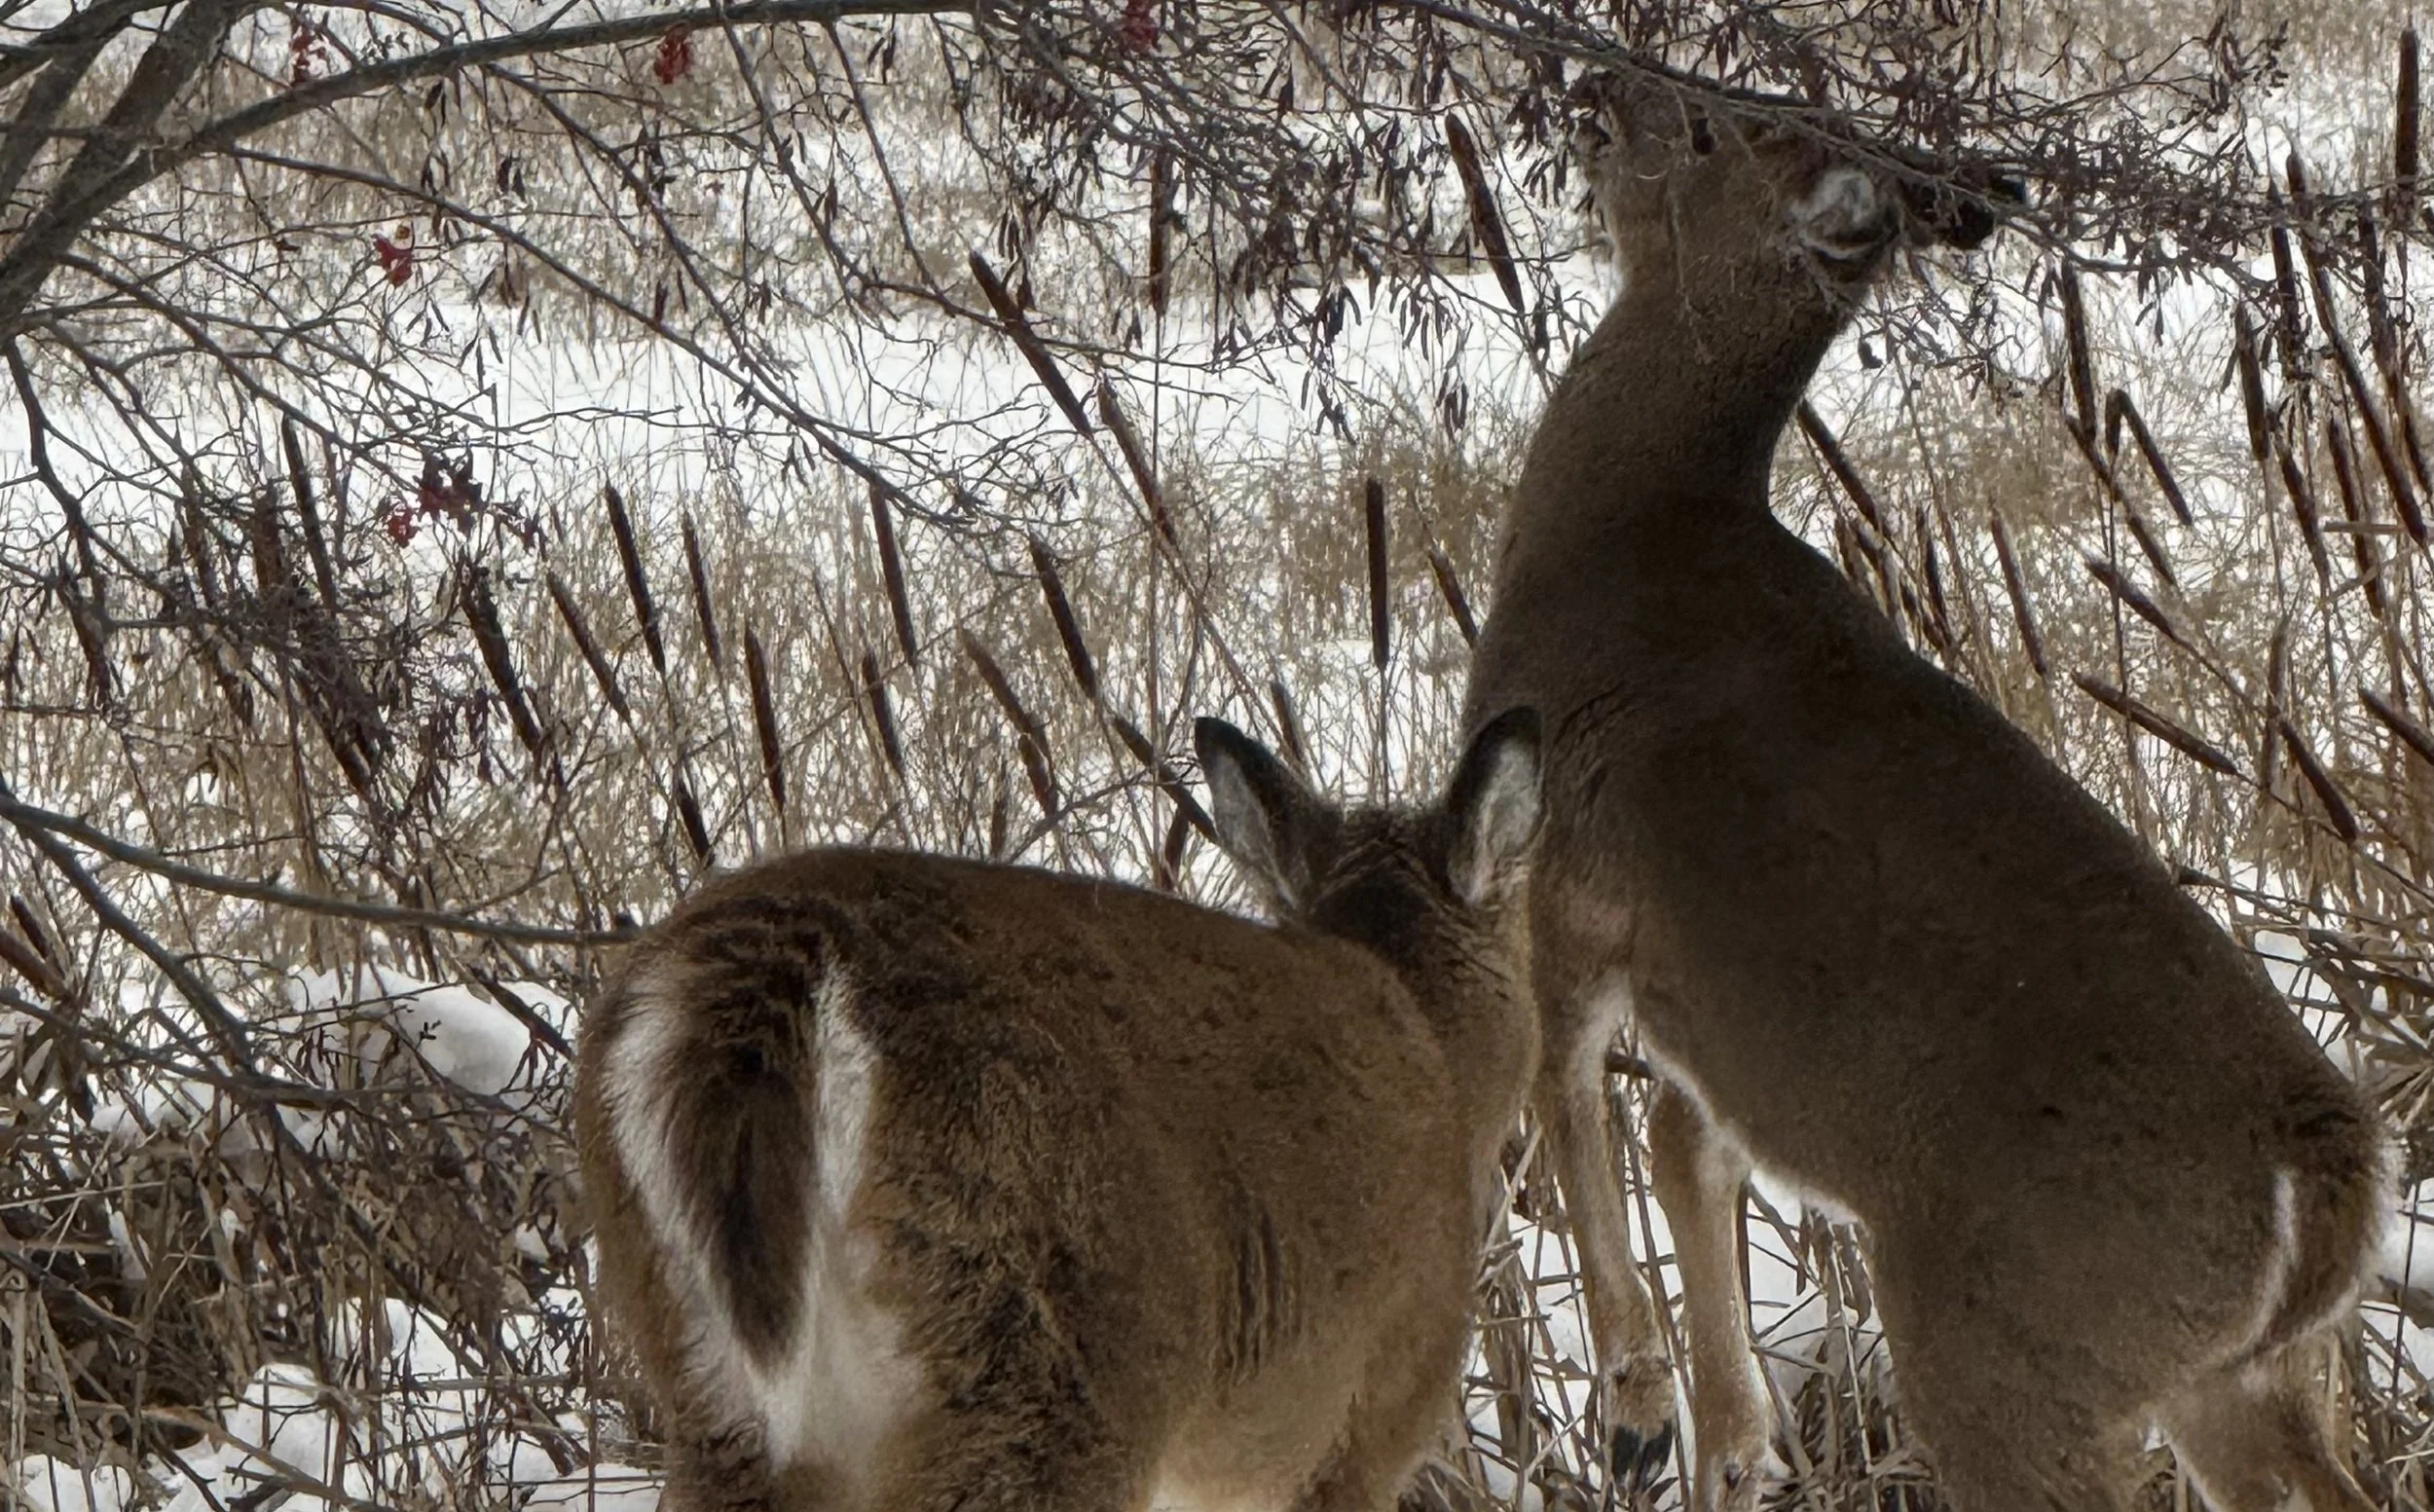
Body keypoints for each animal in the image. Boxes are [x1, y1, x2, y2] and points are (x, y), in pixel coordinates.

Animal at [1460, 79, 2389, 1512]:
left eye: (1721, 127)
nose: (1610, 101)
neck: (1620, 533)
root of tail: (2327, 1188)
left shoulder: (1566, 869)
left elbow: (1567, 1112)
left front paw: (1637, 1409)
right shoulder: (1703, 1032)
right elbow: (1683, 1151)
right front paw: (1733, 1442)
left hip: (2002, 1355)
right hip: (2244, 1380)